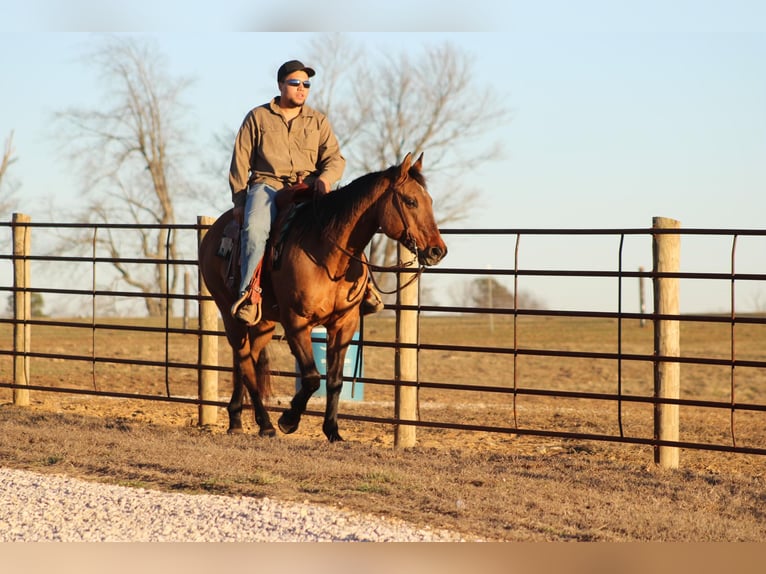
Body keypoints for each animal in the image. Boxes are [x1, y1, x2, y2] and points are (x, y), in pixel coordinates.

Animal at [200, 152, 450, 440]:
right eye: (411, 201)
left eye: (429, 201)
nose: (437, 251)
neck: (327, 254)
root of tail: (214, 231)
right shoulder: (296, 322)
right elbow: (311, 377)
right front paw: (289, 420)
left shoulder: (344, 324)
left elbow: (334, 380)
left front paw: (332, 430)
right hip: (231, 315)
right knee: (246, 363)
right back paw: (266, 424)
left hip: (263, 324)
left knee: (246, 361)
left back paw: (237, 419)